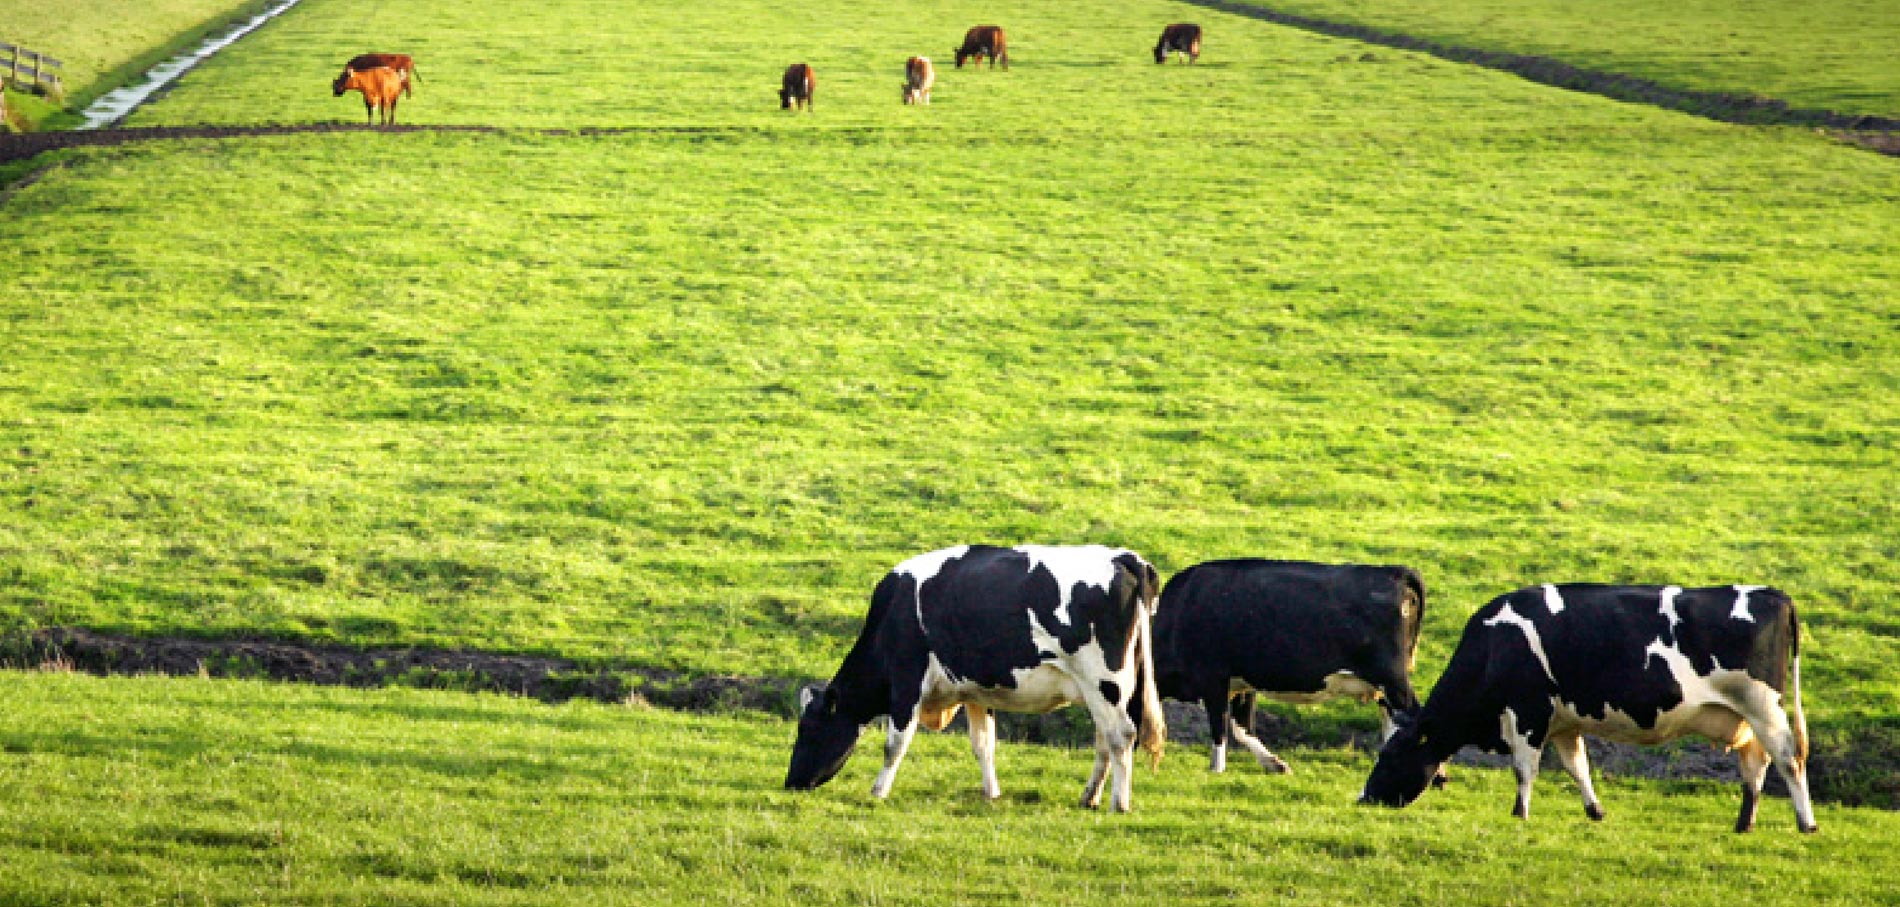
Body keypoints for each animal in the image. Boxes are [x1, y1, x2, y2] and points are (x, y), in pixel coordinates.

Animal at [779, 540, 1162, 810]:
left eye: (807, 729)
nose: (791, 782)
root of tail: (1123, 557)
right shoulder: (976, 692)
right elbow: (983, 745)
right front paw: (991, 793)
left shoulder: (906, 682)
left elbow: (895, 744)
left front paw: (878, 791)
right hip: (1100, 689)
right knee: (1104, 740)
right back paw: (1089, 797)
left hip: (1105, 681)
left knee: (1122, 736)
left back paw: (1119, 804)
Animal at [1140, 555, 1428, 775]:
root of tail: (1395, 572)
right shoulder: (1242, 682)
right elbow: (1242, 728)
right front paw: (1274, 764)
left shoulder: (1213, 678)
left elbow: (1220, 725)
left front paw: (1216, 769)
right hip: (1383, 684)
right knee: (1392, 719)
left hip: (1391, 678)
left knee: (1412, 716)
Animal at [1360, 581, 1816, 829]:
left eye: (1389, 756)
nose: (1363, 799)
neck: (1494, 645)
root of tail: (1773, 594)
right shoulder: (1564, 723)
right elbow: (1576, 766)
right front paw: (1595, 811)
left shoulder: (1529, 712)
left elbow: (1525, 768)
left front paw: (1519, 814)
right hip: (1744, 718)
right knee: (1756, 765)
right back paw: (1744, 824)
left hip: (1764, 708)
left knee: (1789, 758)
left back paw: (1806, 823)